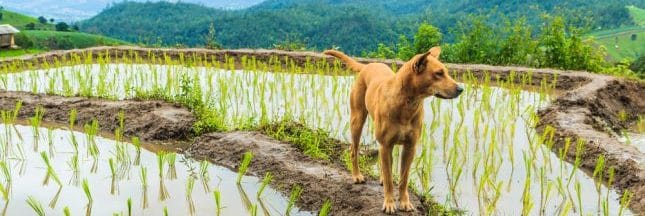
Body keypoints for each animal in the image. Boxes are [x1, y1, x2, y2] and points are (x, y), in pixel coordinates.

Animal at [324, 46, 460, 213]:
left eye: (446, 72)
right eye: (438, 73)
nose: (461, 88)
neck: (407, 102)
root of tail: (368, 65)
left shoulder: (410, 146)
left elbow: (403, 178)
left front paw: (404, 202)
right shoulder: (386, 144)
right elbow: (390, 179)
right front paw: (389, 203)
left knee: (384, 163)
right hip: (357, 120)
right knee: (354, 150)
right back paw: (356, 176)